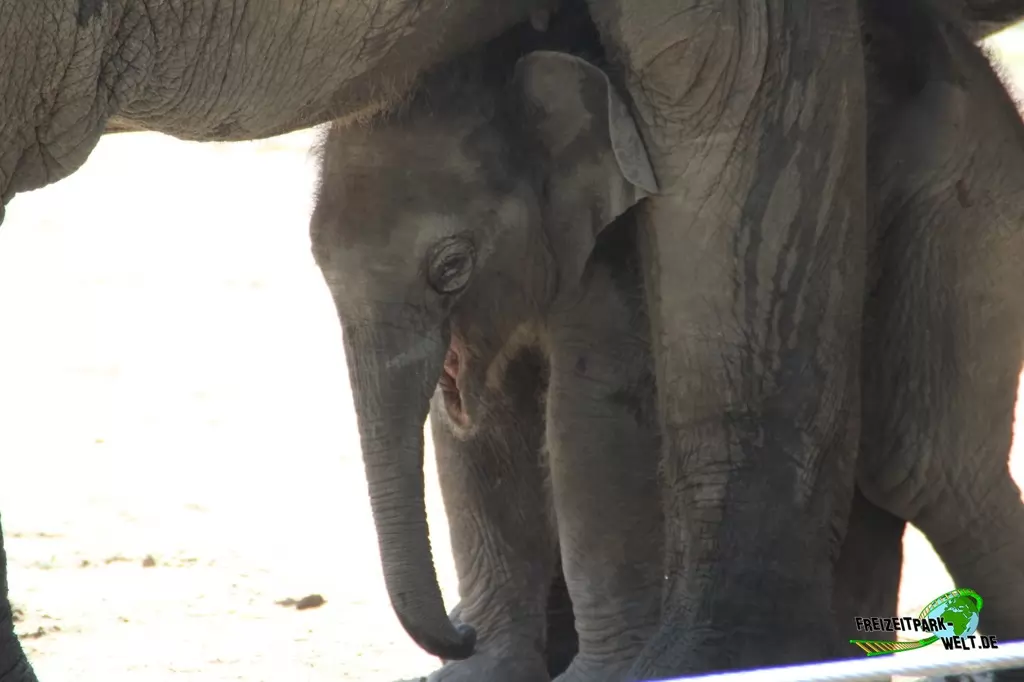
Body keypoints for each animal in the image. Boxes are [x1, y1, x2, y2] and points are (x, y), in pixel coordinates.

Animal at [4, 1, 1024, 680]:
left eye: (451, 268)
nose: (448, 632)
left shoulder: (604, 255)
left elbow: (588, 420)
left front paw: (608, 673)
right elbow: (476, 432)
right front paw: (486, 669)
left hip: (964, 196)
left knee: (921, 460)